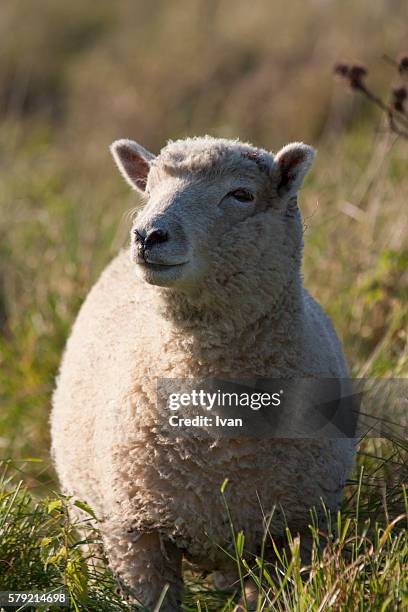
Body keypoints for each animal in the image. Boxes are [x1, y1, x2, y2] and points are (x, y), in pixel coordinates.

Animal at [51, 136, 356, 608]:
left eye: (241, 194)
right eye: (149, 188)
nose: (148, 234)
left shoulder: (303, 526)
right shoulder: (135, 532)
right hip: (88, 510)